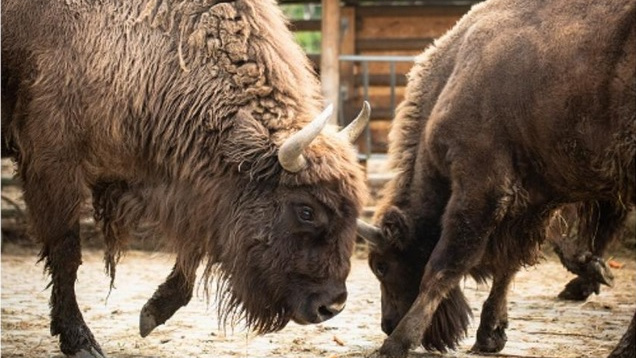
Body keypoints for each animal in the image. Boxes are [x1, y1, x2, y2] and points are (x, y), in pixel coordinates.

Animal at [1, 1, 368, 356]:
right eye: (306, 210)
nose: (331, 306)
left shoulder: (186, 189)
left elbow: (195, 246)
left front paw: (151, 313)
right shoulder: (53, 164)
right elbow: (66, 251)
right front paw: (80, 342)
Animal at [358, 0, 636, 356]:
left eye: (381, 265)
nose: (387, 324)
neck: (454, 73)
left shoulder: (480, 187)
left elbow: (444, 265)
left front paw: (397, 343)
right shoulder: (536, 198)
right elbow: (509, 263)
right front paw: (490, 335)